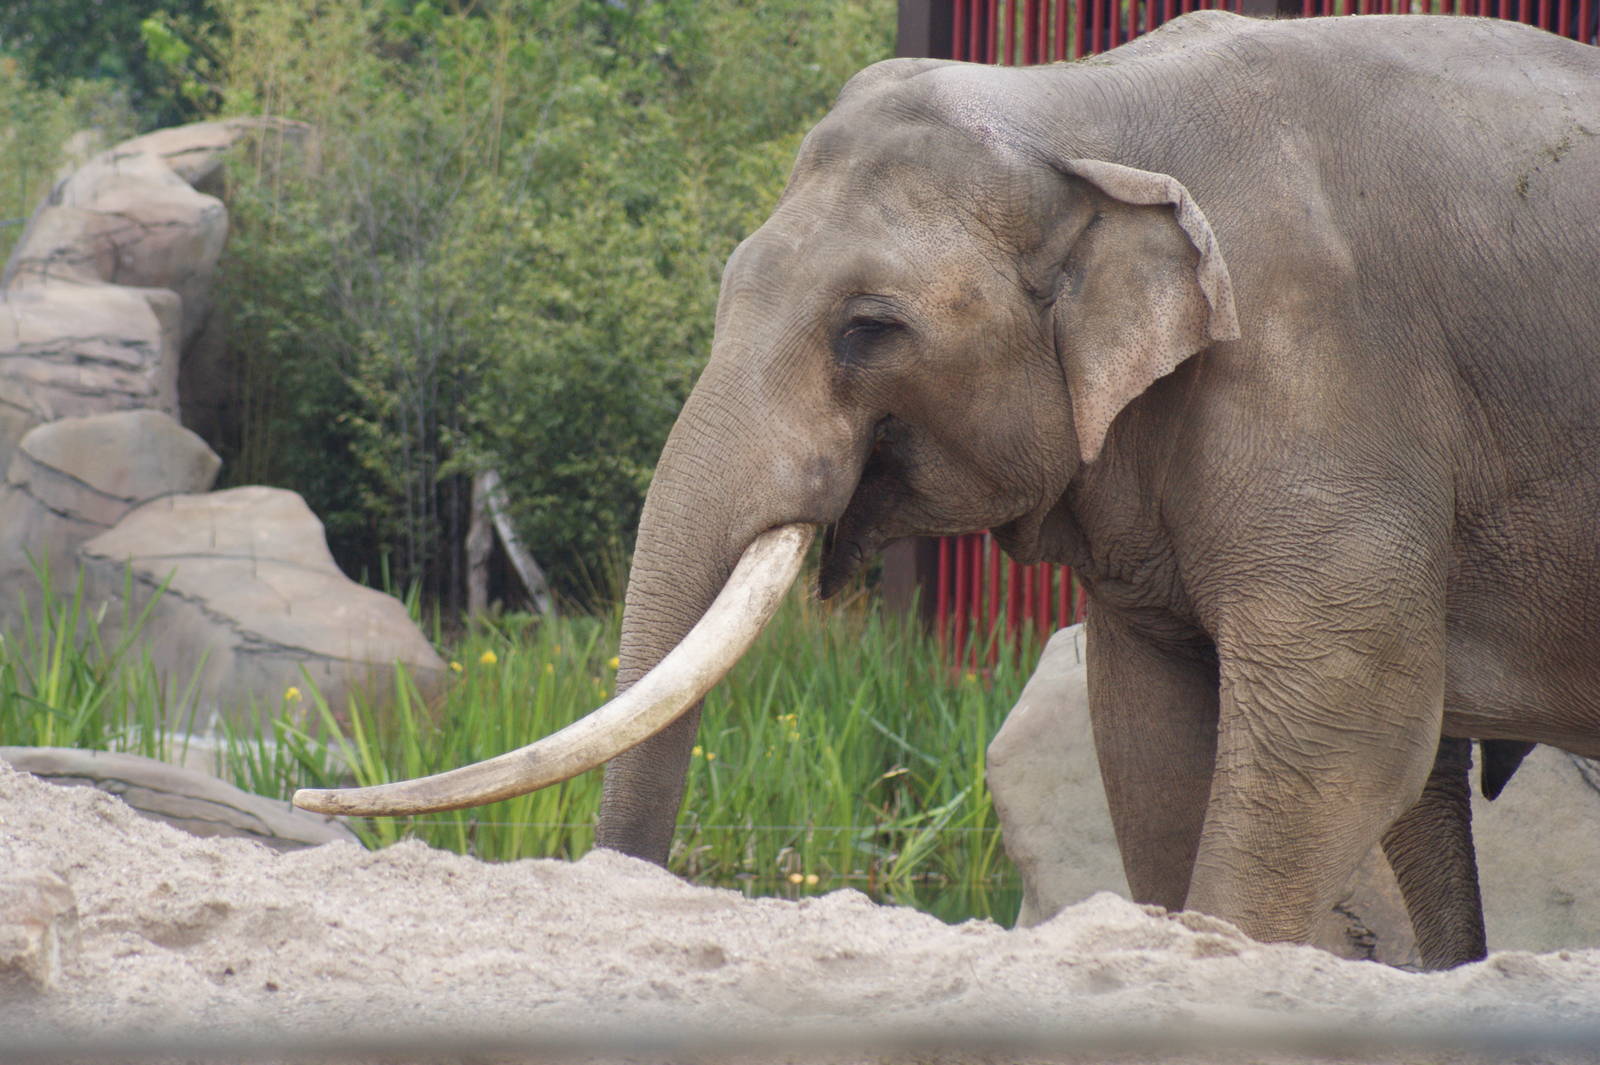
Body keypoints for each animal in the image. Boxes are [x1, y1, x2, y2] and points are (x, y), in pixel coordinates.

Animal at [296, 12, 1600, 964]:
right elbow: (1151, 729)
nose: (315, 796)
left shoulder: (1331, 377)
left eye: (868, 329)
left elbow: (1343, 725)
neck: (1080, 109)